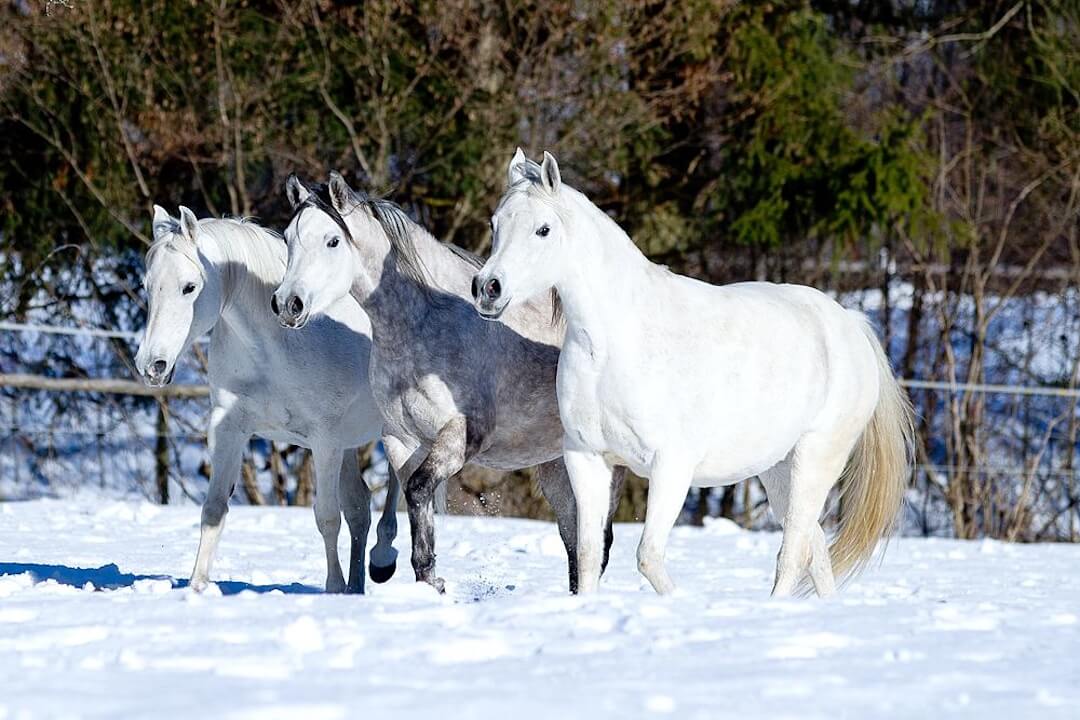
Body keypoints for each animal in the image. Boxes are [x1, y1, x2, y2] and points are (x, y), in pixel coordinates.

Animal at [133, 205, 399, 594]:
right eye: (148, 287)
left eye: (189, 287)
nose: (151, 365)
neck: (278, 345)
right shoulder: (229, 429)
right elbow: (213, 509)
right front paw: (197, 587)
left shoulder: (325, 441)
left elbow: (326, 517)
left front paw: (333, 587)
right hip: (351, 446)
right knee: (360, 508)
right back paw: (357, 588)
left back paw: (383, 559)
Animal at [272, 174, 625, 593]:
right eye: (289, 239)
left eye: (332, 241)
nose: (287, 303)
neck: (426, 324)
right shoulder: (402, 441)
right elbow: (415, 505)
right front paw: (425, 579)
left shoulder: (458, 438)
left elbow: (418, 490)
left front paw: (426, 579)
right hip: (555, 465)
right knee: (573, 535)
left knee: (598, 540)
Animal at [471, 149, 914, 597]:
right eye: (495, 224)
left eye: (543, 230)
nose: (487, 288)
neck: (616, 342)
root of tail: (850, 324)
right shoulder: (587, 459)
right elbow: (589, 556)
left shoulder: (671, 467)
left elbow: (647, 556)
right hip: (778, 470)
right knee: (814, 550)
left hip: (816, 458)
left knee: (793, 554)